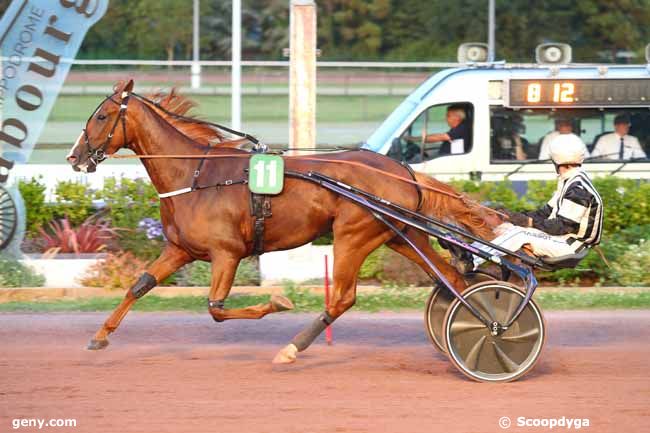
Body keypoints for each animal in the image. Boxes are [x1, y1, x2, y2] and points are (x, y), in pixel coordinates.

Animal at [66, 79, 494, 362]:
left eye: (102, 115)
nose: (74, 157)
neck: (196, 176)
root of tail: (403, 170)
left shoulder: (227, 253)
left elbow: (216, 308)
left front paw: (279, 300)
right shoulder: (181, 250)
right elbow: (139, 286)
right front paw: (99, 337)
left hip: (352, 235)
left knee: (343, 297)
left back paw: (292, 348)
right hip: (398, 233)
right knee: (451, 279)